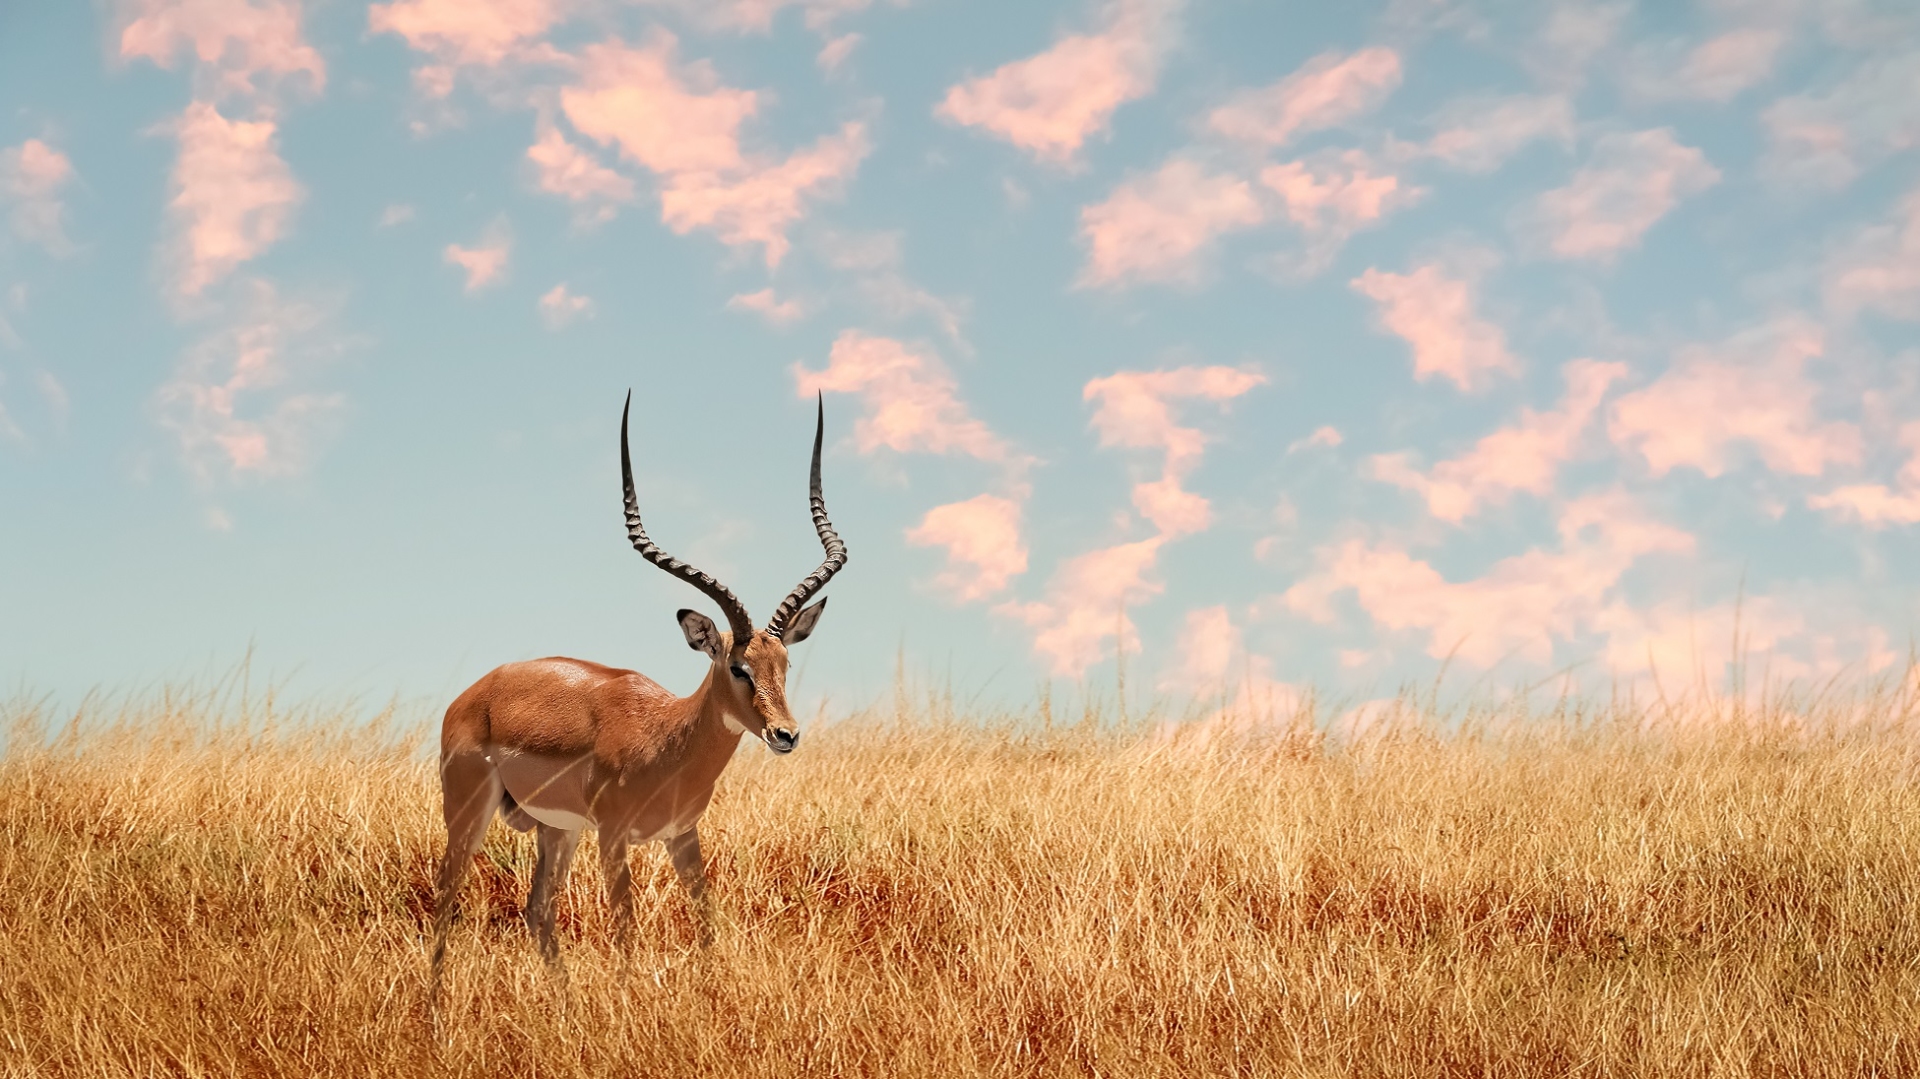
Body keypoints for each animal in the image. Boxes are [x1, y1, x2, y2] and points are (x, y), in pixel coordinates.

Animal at [429, 392, 848, 988]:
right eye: (737, 667)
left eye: (785, 662)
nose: (784, 734)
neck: (666, 738)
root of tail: (474, 693)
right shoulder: (614, 837)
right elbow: (626, 933)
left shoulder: (683, 836)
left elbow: (706, 925)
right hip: (469, 811)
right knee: (447, 896)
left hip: (556, 830)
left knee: (538, 910)